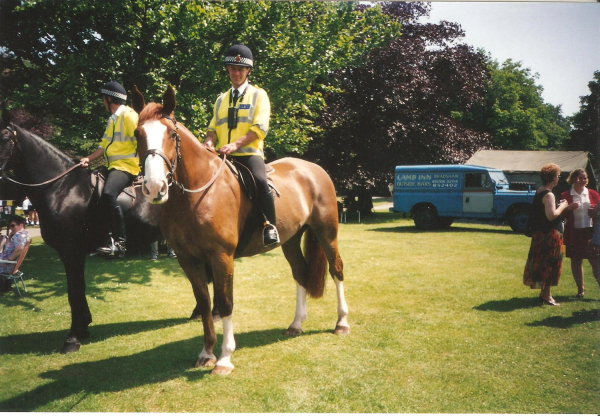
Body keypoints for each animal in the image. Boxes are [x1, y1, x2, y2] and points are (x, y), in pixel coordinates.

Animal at [131, 86, 346, 376]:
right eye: (137, 134)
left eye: (172, 134)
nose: (155, 188)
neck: (198, 194)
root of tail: (314, 168)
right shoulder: (188, 260)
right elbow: (205, 302)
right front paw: (206, 353)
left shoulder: (221, 257)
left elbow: (224, 302)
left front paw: (224, 358)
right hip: (290, 240)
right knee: (300, 273)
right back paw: (296, 324)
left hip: (326, 233)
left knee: (337, 270)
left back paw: (342, 323)